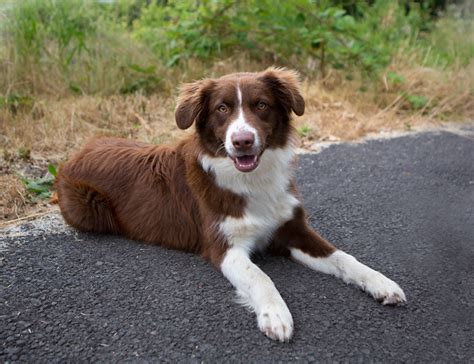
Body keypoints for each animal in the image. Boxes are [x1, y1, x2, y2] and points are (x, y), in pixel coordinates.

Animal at [54, 67, 404, 342]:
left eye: (261, 105)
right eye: (222, 108)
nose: (242, 141)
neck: (253, 180)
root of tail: (80, 149)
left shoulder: (293, 229)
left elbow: (344, 258)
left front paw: (380, 282)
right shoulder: (224, 247)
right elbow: (261, 277)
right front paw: (275, 315)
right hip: (88, 209)